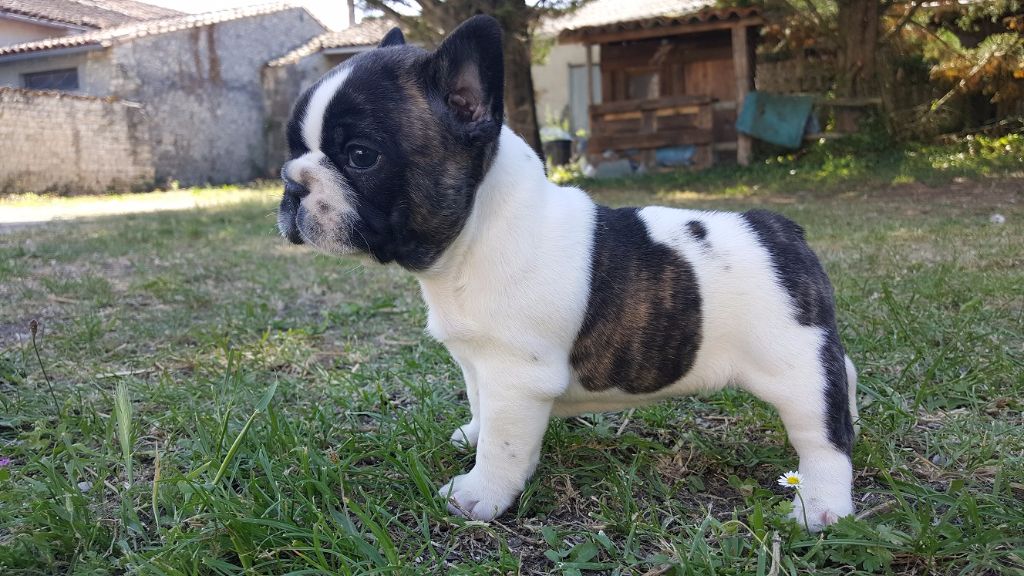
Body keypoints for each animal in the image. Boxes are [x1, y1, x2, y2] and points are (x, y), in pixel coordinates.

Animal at [276, 15, 857, 531]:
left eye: (360, 155)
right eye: (294, 148)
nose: (292, 182)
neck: (476, 232)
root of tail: (783, 231)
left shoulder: (516, 375)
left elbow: (505, 444)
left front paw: (480, 494)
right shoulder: (477, 363)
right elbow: (482, 406)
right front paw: (473, 435)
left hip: (793, 366)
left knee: (824, 436)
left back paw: (821, 508)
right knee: (844, 376)